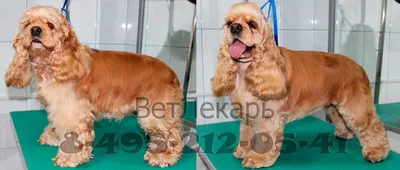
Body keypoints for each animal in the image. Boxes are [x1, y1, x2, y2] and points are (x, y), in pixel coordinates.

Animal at [5, 5, 184, 168]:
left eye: (50, 25)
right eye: (28, 24)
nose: (35, 30)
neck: (55, 61)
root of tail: (171, 72)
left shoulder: (72, 111)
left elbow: (71, 133)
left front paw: (68, 157)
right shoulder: (57, 107)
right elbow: (56, 124)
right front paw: (53, 137)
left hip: (156, 112)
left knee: (171, 134)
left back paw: (164, 155)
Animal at [211, 2, 390, 169]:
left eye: (252, 24)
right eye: (229, 23)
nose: (235, 27)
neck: (247, 68)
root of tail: (359, 67)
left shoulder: (269, 116)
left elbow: (264, 138)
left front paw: (258, 158)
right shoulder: (247, 114)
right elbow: (246, 133)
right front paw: (243, 151)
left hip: (354, 107)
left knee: (373, 125)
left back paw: (377, 152)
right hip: (333, 106)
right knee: (342, 119)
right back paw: (345, 134)